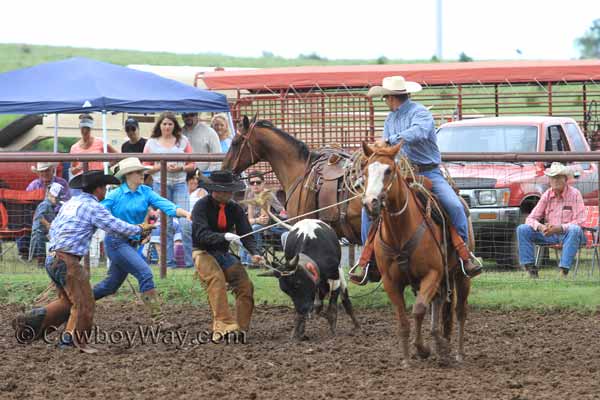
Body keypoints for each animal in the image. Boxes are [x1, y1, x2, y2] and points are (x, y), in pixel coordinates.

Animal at [360, 142, 474, 368]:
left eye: (389, 170)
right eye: (366, 171)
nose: (370, 203)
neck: (400, 230)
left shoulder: (432, 274)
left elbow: (419, 309)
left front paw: (423, 349)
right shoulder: (391, 282)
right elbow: (403, 320)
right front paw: (406, 359)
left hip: (461, 276)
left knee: (459, 311)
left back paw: (457, 352)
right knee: (439, 303)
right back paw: (440, 343)